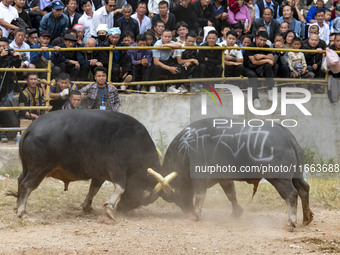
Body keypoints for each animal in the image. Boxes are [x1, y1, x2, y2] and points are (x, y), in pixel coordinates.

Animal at [8, 110, 171, 218]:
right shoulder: (116, 168)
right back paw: (22, 212)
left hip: (28, 168)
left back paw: (17, 207)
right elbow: (120, 187)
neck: (135, 142)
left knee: (20, 180)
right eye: (139, 199)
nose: (122, 210)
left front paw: (87, 207)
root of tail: (31, 129)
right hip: (39, 169)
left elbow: (94, 189)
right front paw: (109, 208)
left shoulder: (100, 174)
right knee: (27, 185)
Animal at [157, 118, 314, 229]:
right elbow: (231, 193)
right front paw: (236, 212)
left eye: (175, 197)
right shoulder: (223, 177)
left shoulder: (200, 176)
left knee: (291, 194)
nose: (187, 211)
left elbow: (201, 195)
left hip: (279, 178)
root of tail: (288, 137)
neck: (185, 148)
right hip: (297, 174)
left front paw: (195, 215)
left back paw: (290, 223)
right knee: (304, 188)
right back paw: (307, 218)